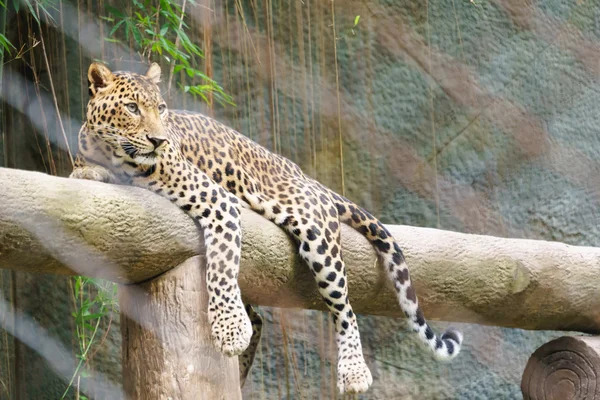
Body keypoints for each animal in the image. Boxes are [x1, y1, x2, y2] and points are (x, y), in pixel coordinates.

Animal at [70, 62, 464, 394]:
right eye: (132, 108)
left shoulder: (218, 201)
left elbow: (222, 265)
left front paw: (229, 329)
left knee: (344, 308)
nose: (158, 140)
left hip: (316, 233)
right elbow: (82, 173)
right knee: (260, 317)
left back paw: (353, 371)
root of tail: (307, 177)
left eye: (161, 108)